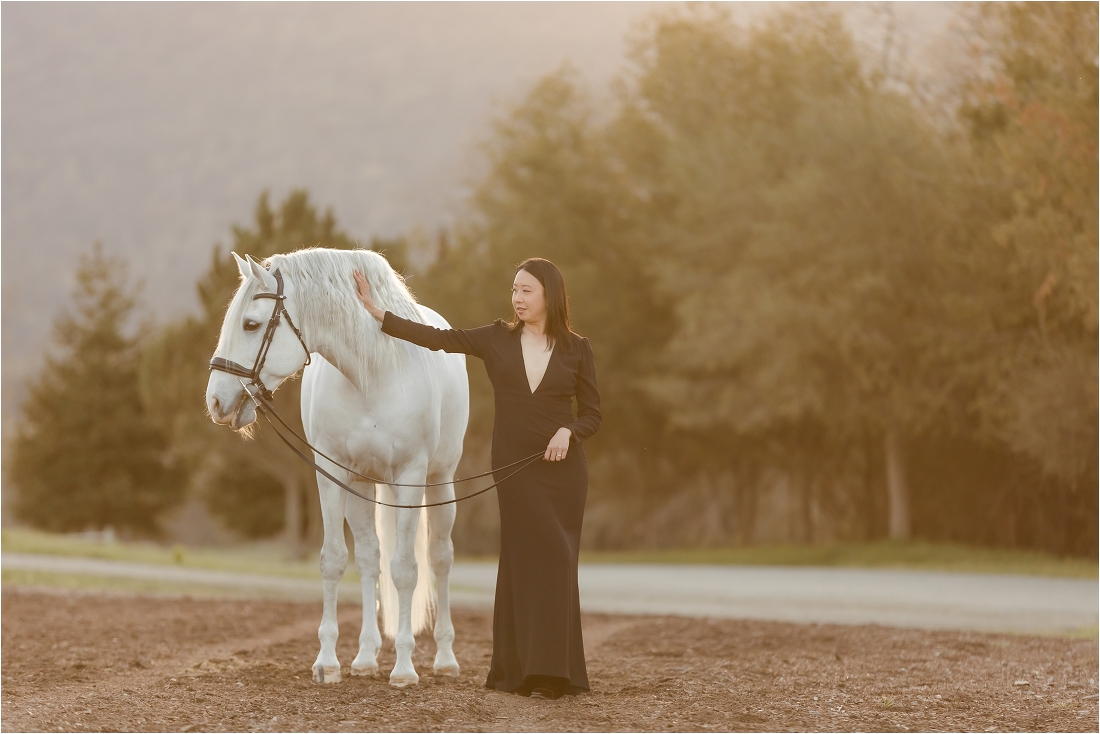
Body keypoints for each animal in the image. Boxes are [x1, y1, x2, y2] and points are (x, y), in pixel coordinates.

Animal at [206, 248, 468, 691]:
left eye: (251, 324)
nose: (216, 402)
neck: (372, 375)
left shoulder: (410, 478)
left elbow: (405, 570)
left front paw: (404, 668)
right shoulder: (332, 475)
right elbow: (335, 560)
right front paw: (327, 663)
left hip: (440, 483)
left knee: (439, 559)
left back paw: (445, 658)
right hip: (363, 487)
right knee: (369, 558)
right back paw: (364, 657)